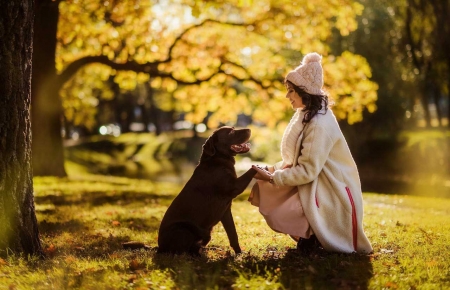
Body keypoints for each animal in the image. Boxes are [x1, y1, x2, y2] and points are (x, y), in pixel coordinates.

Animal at [157, 125, 256, 255]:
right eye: (230, 132)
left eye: (233, 128)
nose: (249, 129)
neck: (218, 160)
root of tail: (159, 248)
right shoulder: (234, 186)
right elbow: (250, 170)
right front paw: (261, 168)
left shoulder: (226, 211)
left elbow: (233, 234)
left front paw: (239, 253)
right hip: (184, 229)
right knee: (181, 252)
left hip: (207, 233)